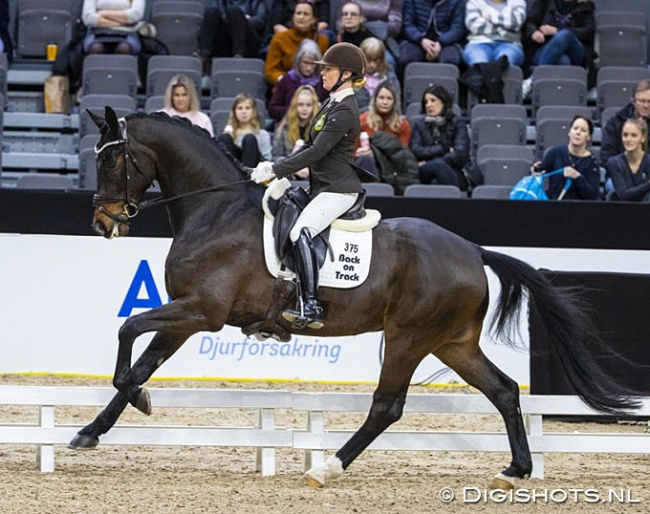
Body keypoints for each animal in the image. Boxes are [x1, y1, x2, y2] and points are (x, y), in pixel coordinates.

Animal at [68, 108, 636, 488]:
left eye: (114, 159)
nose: (103, 223)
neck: (216, 211)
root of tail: (473, 250)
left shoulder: (201, 312)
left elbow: (126, 333)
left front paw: (134, 402)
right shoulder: (187, 316)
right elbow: (141, 363)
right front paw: (92, 431)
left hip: (409, 336)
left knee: (387, 406)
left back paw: (328, 467)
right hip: (452, 342)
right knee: (503, 391)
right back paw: (515, 469)